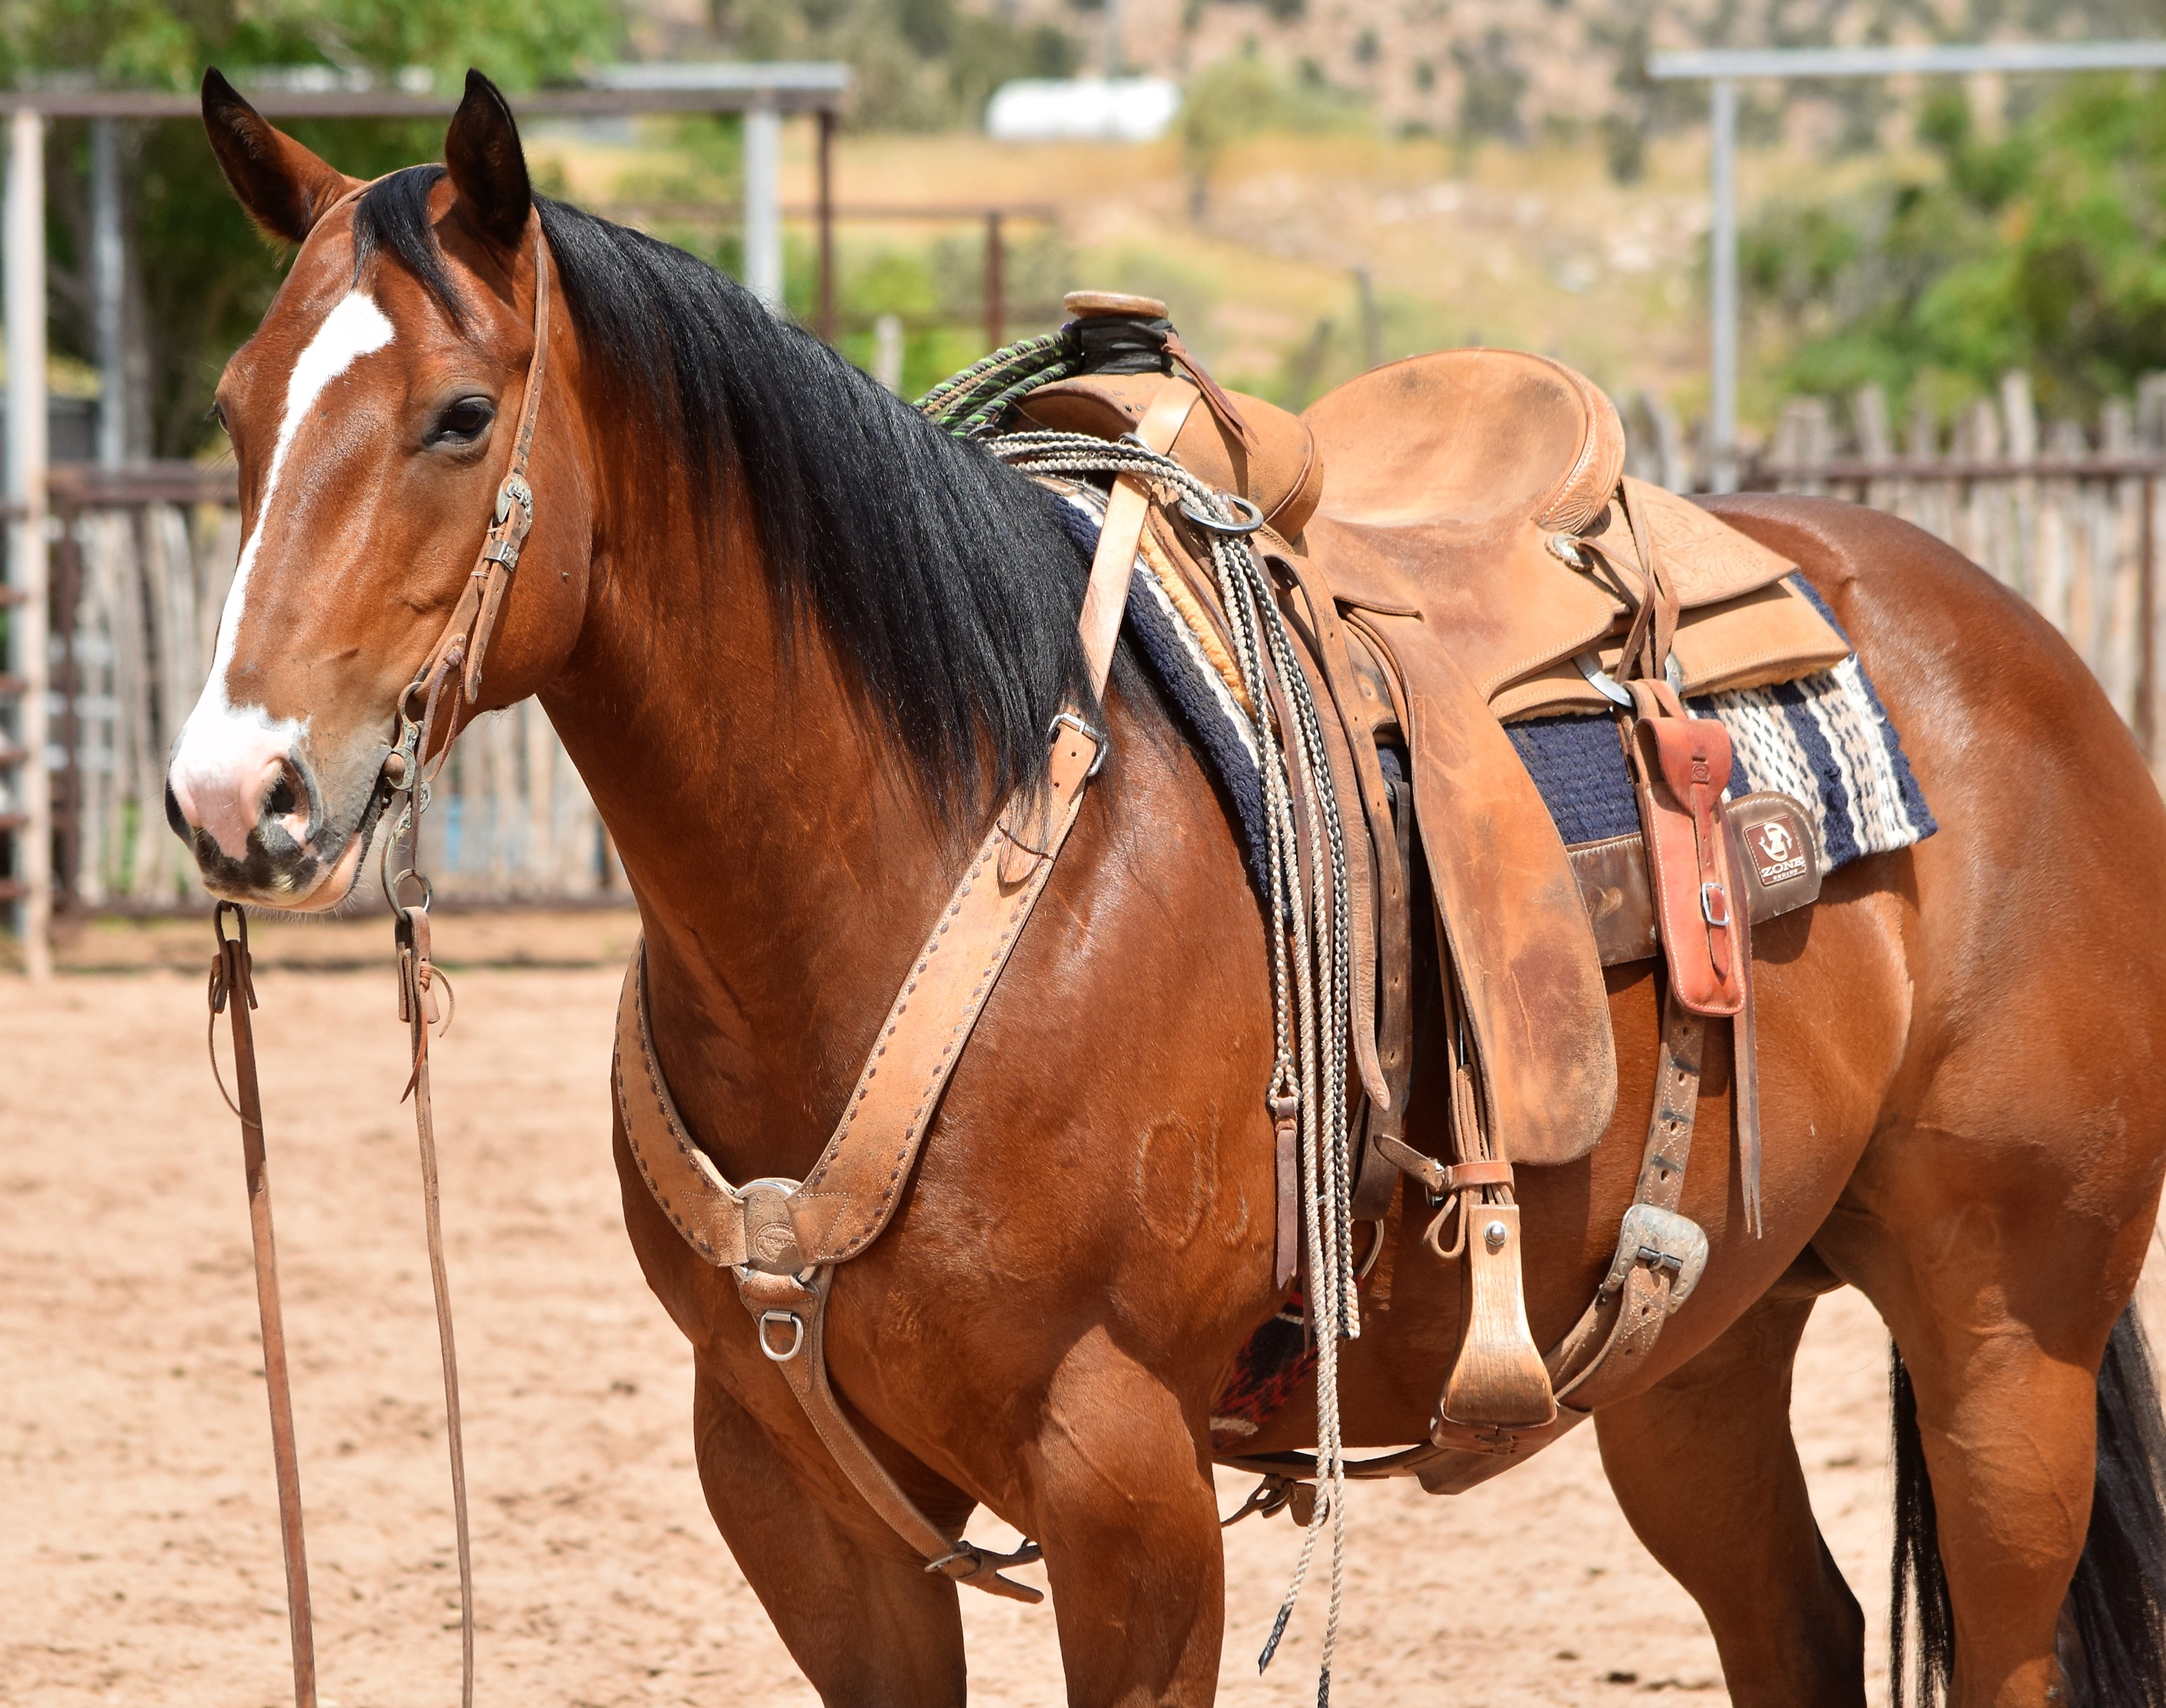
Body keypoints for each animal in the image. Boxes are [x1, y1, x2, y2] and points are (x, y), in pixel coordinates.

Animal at [166, 69, 2166, 1705]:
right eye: (237, 408)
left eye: (458, 414)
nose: (232, 789)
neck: (926, 861)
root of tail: (2017, 654)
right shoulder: (797, 1491)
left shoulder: (1122, 1476)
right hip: (1700, 1350)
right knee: (1795, 1629)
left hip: (2006, 1345)